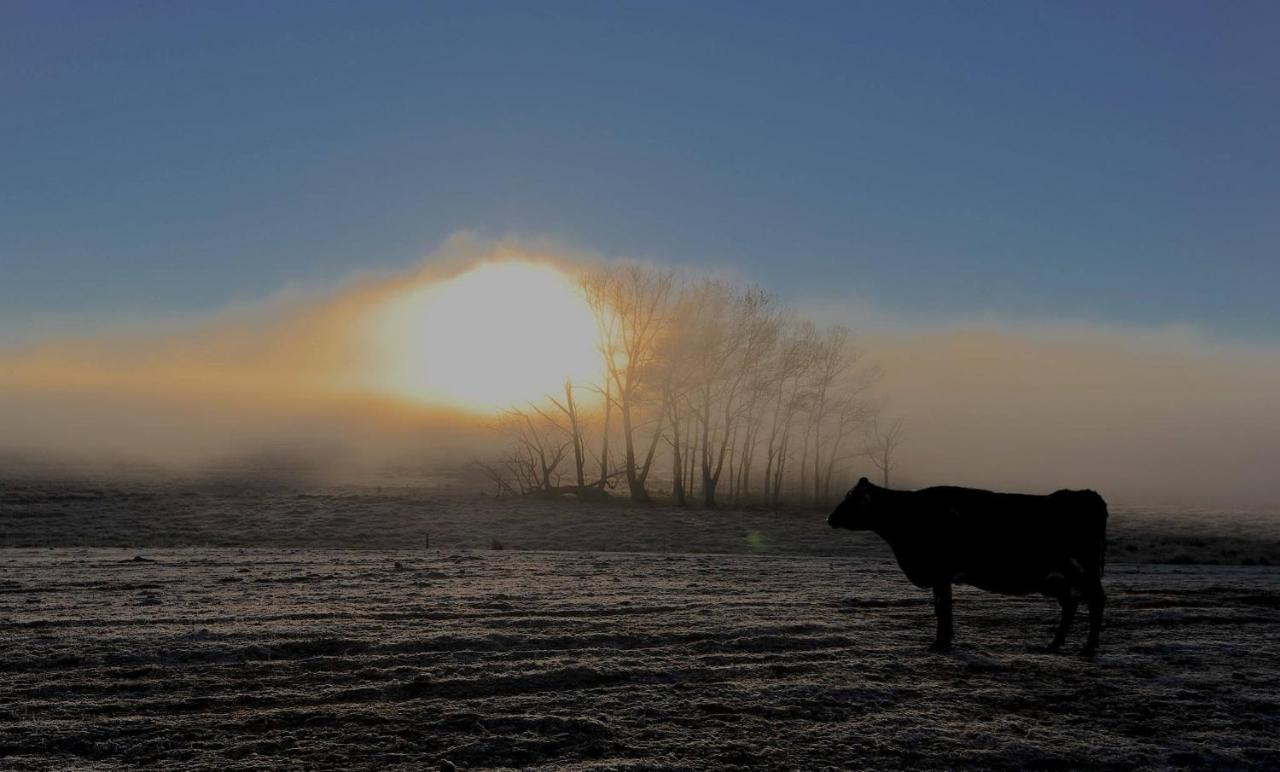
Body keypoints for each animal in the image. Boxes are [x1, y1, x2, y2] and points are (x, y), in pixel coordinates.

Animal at [824, 481, 1105, 655]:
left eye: (850, 499)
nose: (829, 518)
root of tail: (1086, 494)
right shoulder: (940, 576)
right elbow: (942, 606)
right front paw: (945, 641)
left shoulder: (940, 573)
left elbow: (943, 606)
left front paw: (940, 643)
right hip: (1062, 577)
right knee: (1071, 604)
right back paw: (1055, 645)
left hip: (1083, 570)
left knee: (1095, 601)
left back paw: (1088, 648)